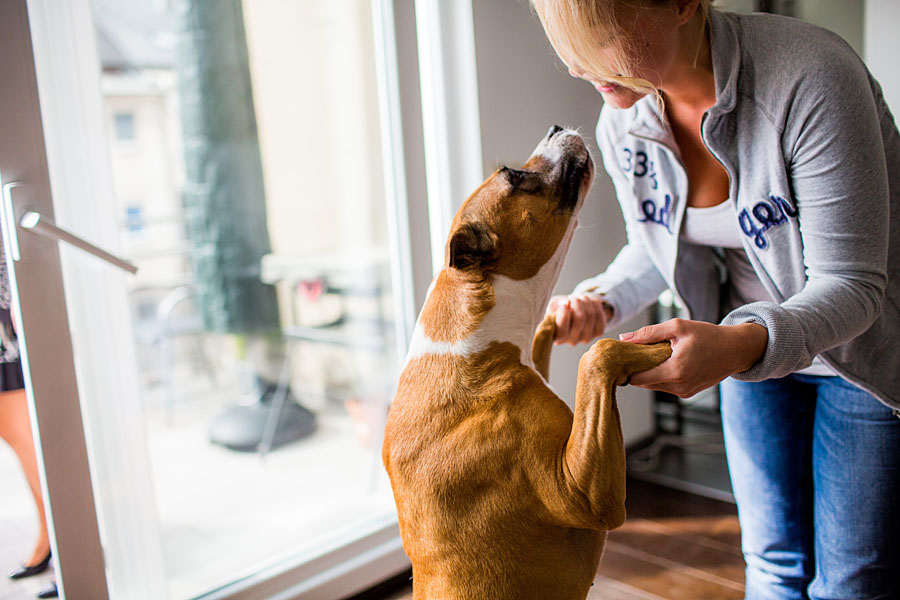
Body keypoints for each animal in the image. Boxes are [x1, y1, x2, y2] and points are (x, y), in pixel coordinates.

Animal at [384, 127, 672, 600]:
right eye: (515, 177)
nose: (556, 128)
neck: (472, 345)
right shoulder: (583, 493)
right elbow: (597, 356)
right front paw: (662, 345)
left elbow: (554, 333)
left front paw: (575, 310)